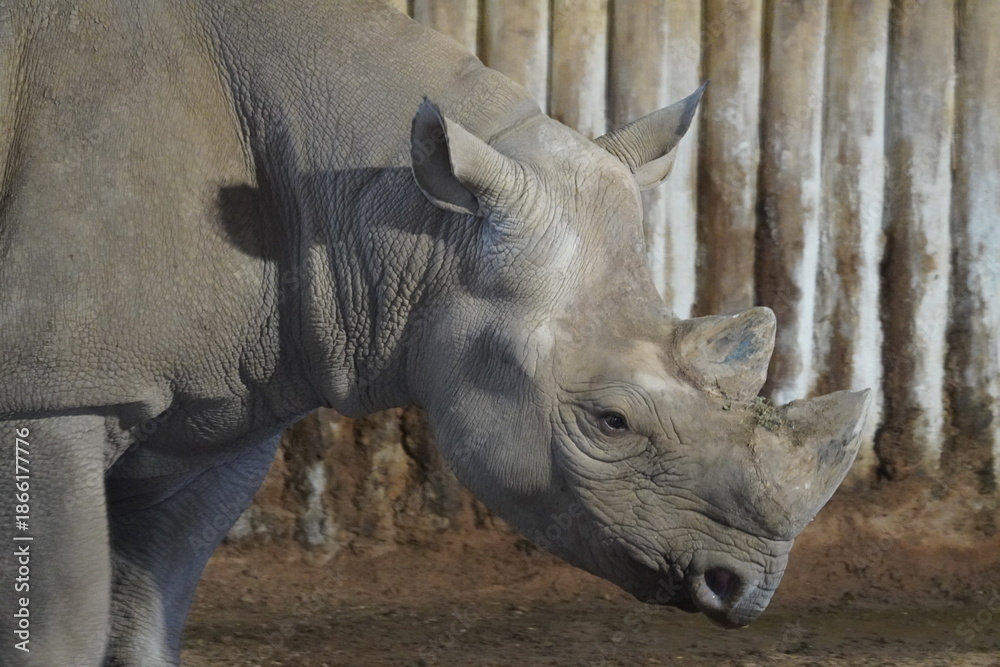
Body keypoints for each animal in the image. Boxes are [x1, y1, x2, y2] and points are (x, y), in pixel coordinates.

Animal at [0, 1, 870, 664]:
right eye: (611, 421)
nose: (746, 586)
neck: (404, 215)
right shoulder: (50, 394)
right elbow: (61, 626)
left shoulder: (223, 411)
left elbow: (148, 613)